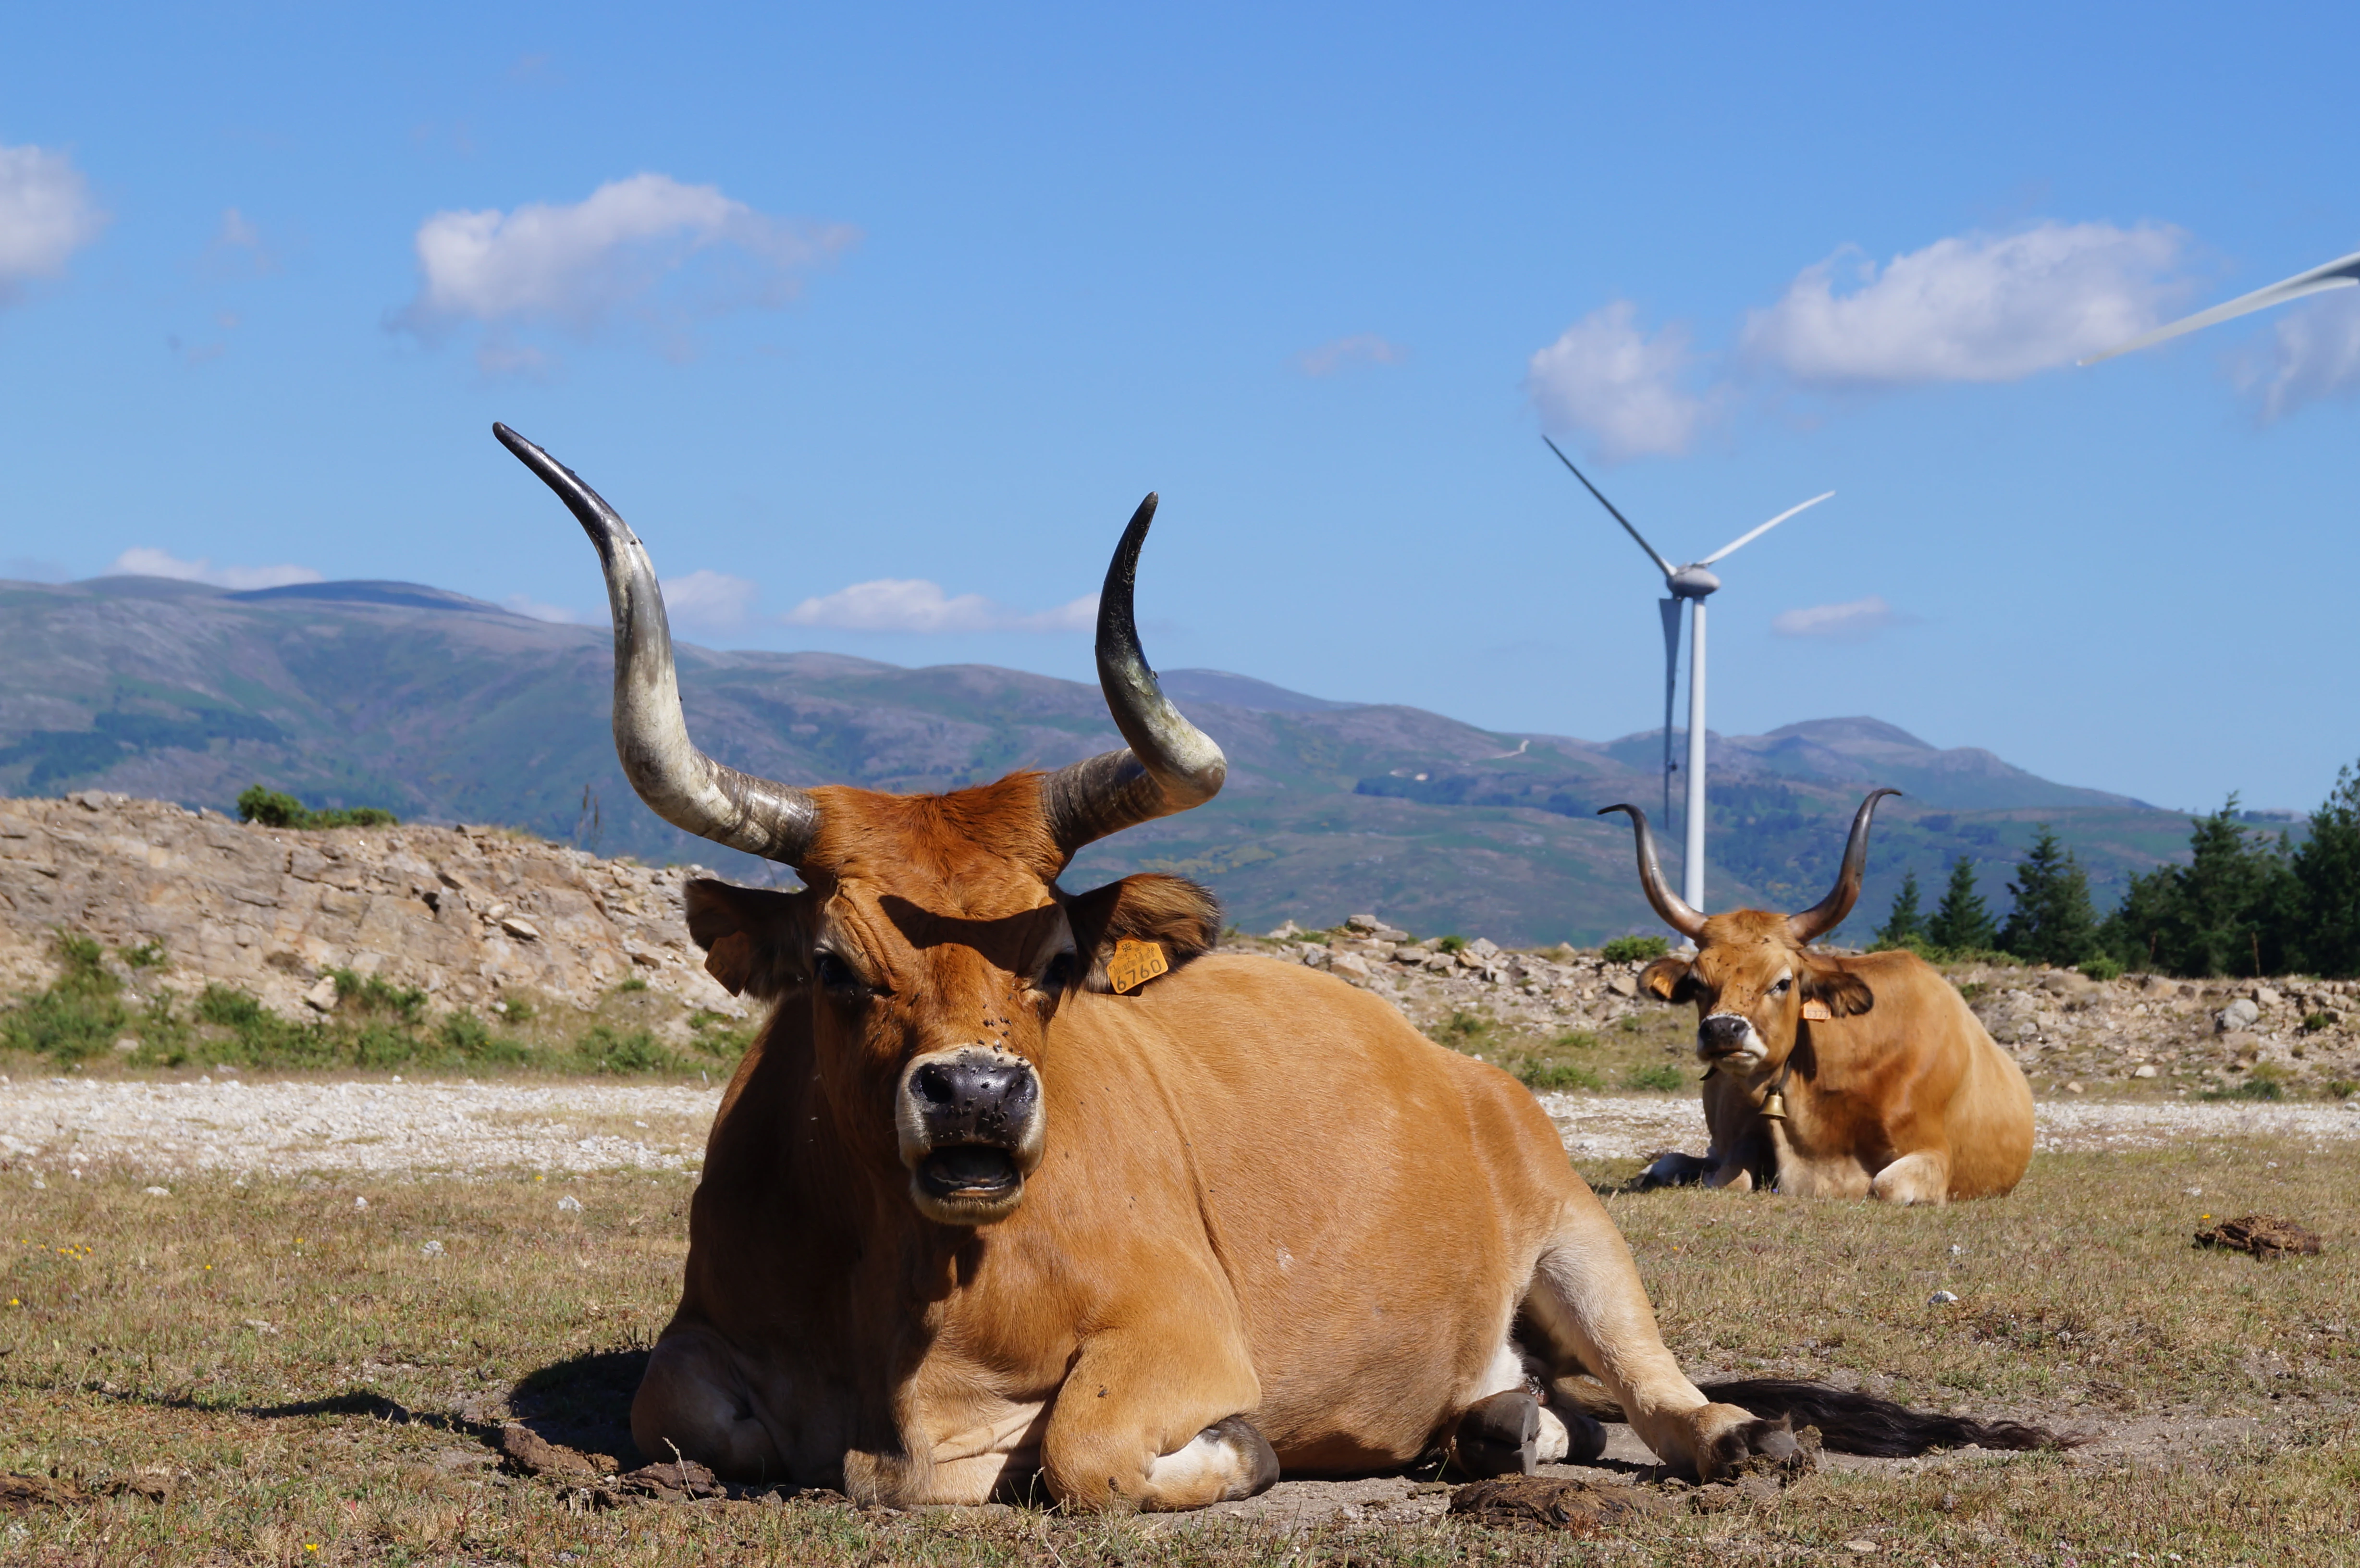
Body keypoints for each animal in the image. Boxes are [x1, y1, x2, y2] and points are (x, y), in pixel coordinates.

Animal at [1604, 791, 2036, 1204]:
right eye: (1696, 982)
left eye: (1783, 982)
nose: (1723, 1030)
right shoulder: (1741, 1141)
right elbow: (1729, 1177)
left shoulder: (1933, 1154)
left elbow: (1887, 1185)